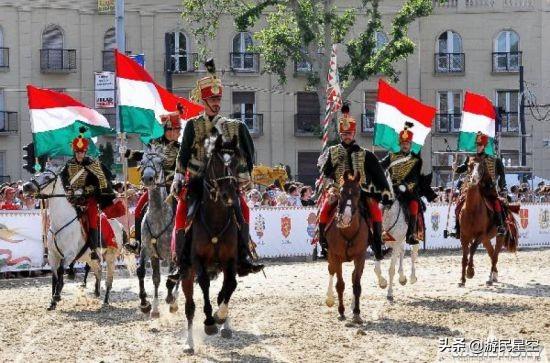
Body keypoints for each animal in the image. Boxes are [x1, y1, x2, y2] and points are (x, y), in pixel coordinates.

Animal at [22, 165, 125, 310]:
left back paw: (105, 300)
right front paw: (52, 302)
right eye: (37, 174)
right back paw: (96, 292)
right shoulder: (53, 255)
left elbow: (60, 271)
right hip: (91, 258)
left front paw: (57, 296)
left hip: (111, 257)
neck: (61, 222)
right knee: (98, 271)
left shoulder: (69, 255)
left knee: (109, 279)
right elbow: (54, 275)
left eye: (47, 177)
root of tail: (119, 225)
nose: (26, 186)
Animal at [326, 171, 368, 324]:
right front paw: (341, 311)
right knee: (331, 271)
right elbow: (340, 285)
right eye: (342, 192)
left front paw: (356, 312)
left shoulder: (360, 256)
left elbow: (356, 285)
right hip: (330, 256)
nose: (345, 218)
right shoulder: (336, 256)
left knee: (354, 276)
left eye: (358, 192)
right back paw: (329, 298)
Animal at [460, 159, 520, 288]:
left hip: (499, 237)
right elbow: (464, 256)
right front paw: (462, 280)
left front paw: (470, 272)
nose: (474, 178)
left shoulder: (480, 235)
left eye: (482, 167)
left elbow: (472, 249)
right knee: (492, 254)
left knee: (495, 256)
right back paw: (494, 276)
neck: (472, 209)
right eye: (469, 165)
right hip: (486, 240)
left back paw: (490, 278)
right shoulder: (464, 236)